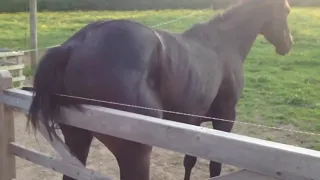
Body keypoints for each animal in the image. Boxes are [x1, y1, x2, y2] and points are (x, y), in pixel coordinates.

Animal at [26, 0, 292, 179]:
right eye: (287, 10)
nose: (288, 44)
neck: (223, 44)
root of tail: (73, 47)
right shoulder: (225, 117)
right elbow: (215, 165)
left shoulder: (193, 121)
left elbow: (189, 160)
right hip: (135, 153)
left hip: (77, 138)